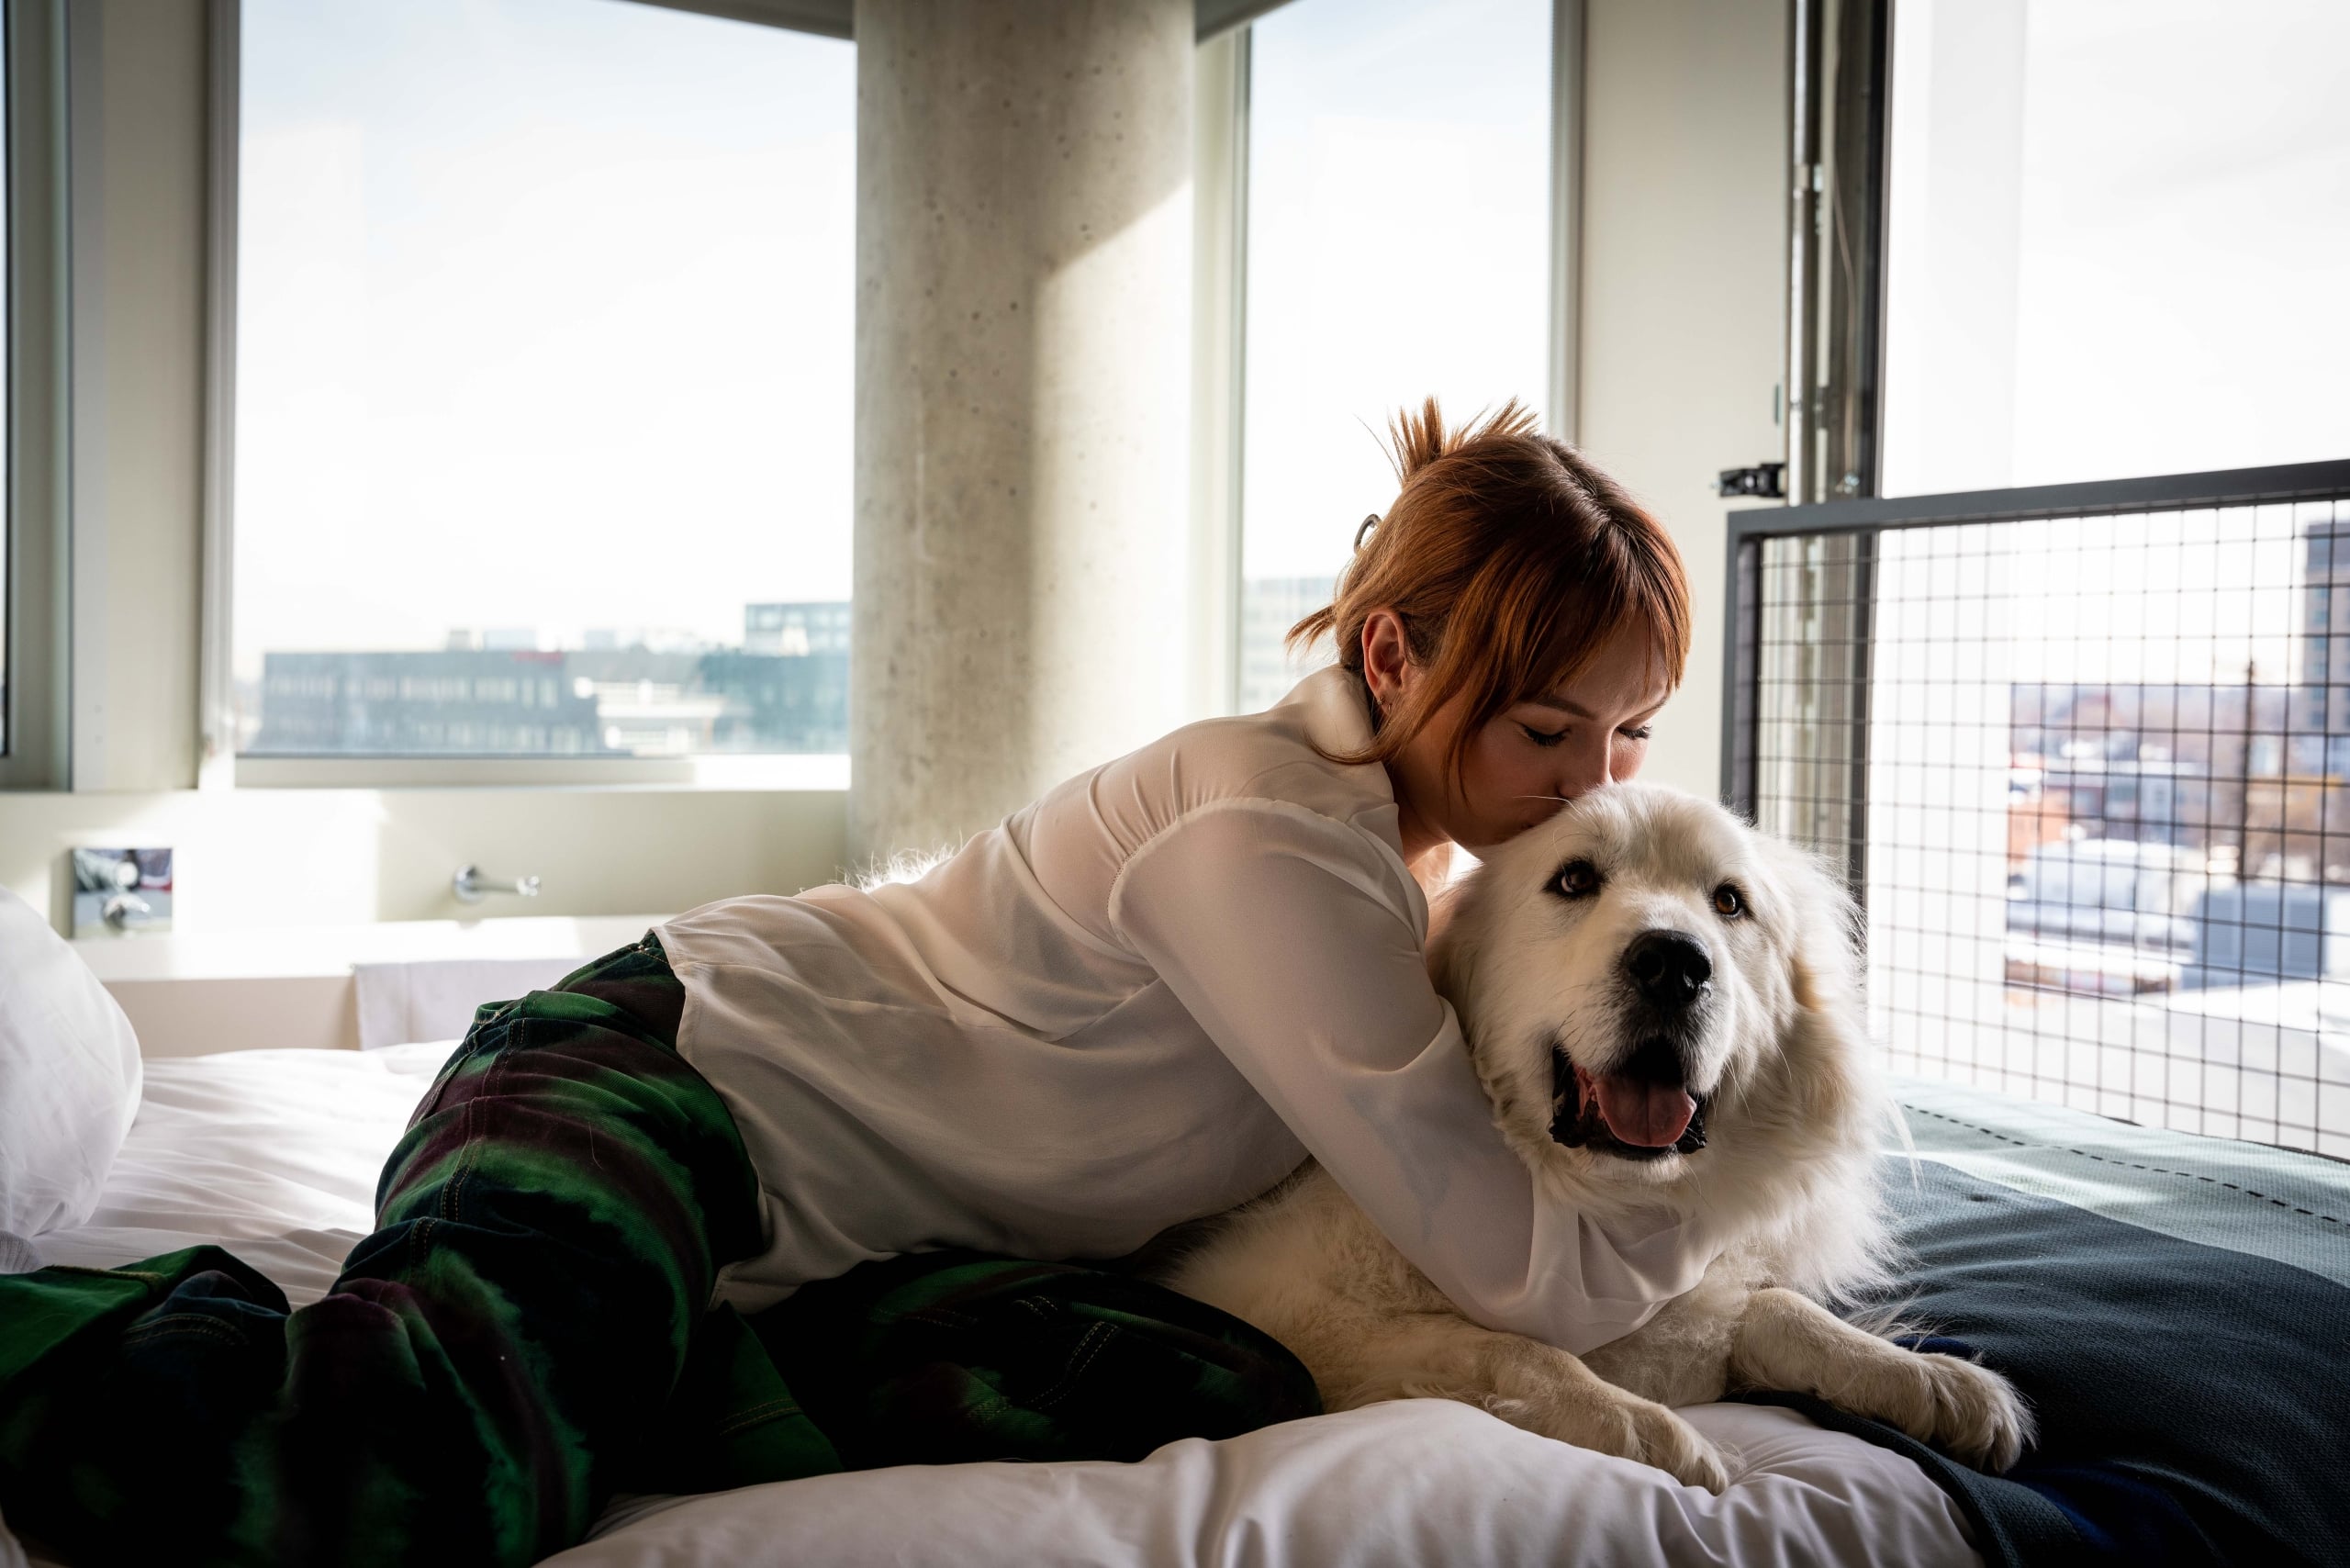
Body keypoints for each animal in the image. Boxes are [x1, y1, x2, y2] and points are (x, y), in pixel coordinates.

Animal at [1165, 785, 2030, 1495]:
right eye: (1575, 881)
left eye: (1729, 902)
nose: (1674, 964)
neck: (1602, 1203)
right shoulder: (1277, 1310)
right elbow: (1512, 1347)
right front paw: (1648, 1431)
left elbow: (1777, 1308)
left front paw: (1929, 1380)